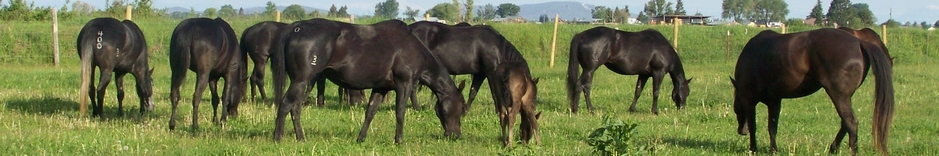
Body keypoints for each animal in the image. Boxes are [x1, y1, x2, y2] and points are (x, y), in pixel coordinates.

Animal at [270, 18, 464, 143]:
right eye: (461, 109)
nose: (455, 135)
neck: (412, 48)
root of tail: (297, 27)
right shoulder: (405, 85)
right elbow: (400, 113)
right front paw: (399, 141)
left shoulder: (381, 88)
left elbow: (370, 112)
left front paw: (361, 138)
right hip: (301, 81)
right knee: (285, 104)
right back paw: (277, 137)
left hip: (308, 81)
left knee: (295, 107)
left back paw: (301, 138)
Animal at [564, 27, 692, 114]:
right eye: (687, 92)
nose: (682, 109)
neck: (662, 49)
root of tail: (583, 35)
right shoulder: (658, 73)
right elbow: (656, 92)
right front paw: (655, 111)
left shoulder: (644, 74)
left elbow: (638, 91)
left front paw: (632, 109)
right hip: (589, 70)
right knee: (580, 85)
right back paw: (577, 110)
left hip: (589, 71)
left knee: (586, 87)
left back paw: (589, 110)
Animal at [728, 28, 896, 155]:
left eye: (736, 107)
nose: (741, 131)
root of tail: (860, 42)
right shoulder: (774, 100)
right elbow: (772, 127)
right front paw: (773, 150)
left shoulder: (749, 100)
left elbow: (754, 126)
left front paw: (753, 149)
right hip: (845, 96)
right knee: (845, 123)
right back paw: (833, 148)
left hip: (838, 95)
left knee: (851, 122)